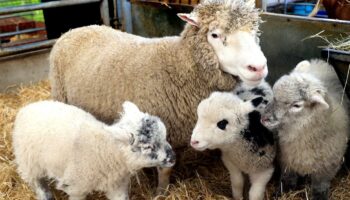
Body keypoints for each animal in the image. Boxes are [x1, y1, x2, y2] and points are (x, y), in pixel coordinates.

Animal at [13, 101, 175, 200]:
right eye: (147, 147)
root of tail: (29, 106)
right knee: (38, 184)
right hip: (29, 163)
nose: (173, 157)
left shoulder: (117, 185)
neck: (107, 151)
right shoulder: (76, 187)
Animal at [49, 0, 266, 192]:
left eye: (254, 32)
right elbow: (164, 169)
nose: (258, 67)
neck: (179, 68)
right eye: (215, 34)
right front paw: (161, 191)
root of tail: (76, 29)